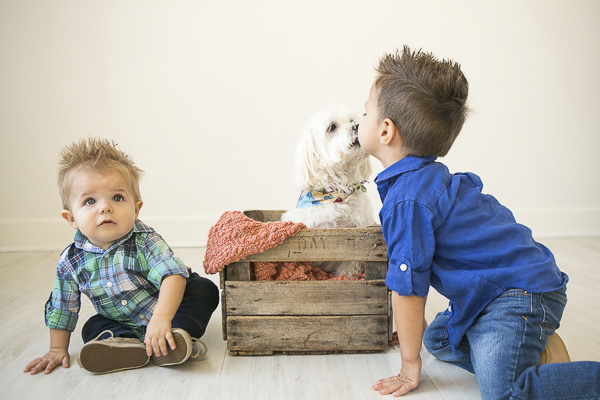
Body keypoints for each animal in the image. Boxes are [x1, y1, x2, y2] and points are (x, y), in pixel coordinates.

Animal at [282, 104, 376, 276]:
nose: (357, 126)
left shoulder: (358, 236)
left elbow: (349, 266)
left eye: (352, 120)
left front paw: (345, 277)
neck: (336, 194)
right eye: (331, 127)